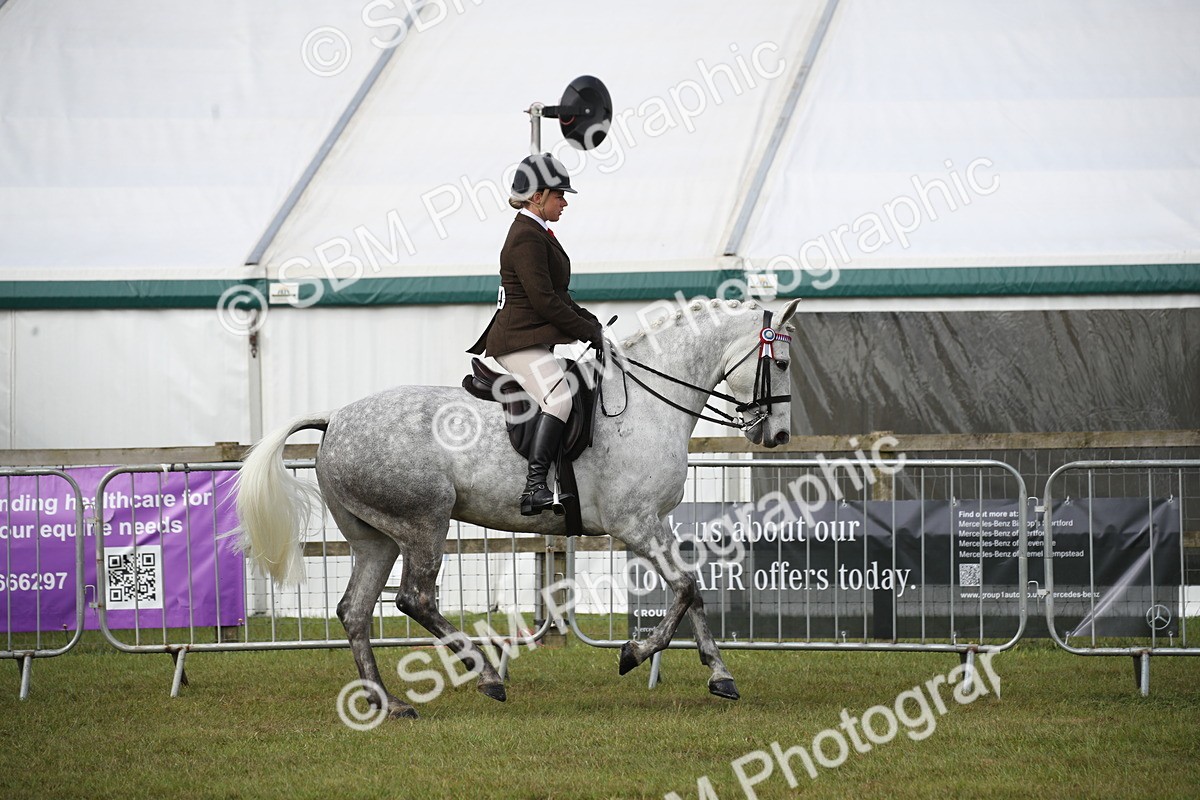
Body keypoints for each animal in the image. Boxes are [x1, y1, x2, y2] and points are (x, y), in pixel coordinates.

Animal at [235, 297, 800, 719]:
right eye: (783, 364)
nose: (777, 436)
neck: (647, 402)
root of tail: (334, 420)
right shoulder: (634, 524)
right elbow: (684, 587)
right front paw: (634, 653)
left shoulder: (655, 522)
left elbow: (693, 592)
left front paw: (720, 674)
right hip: (424, 523)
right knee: (414, 599)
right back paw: (485, 674)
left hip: (375, 539)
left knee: (355, 610)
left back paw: (388, 704)